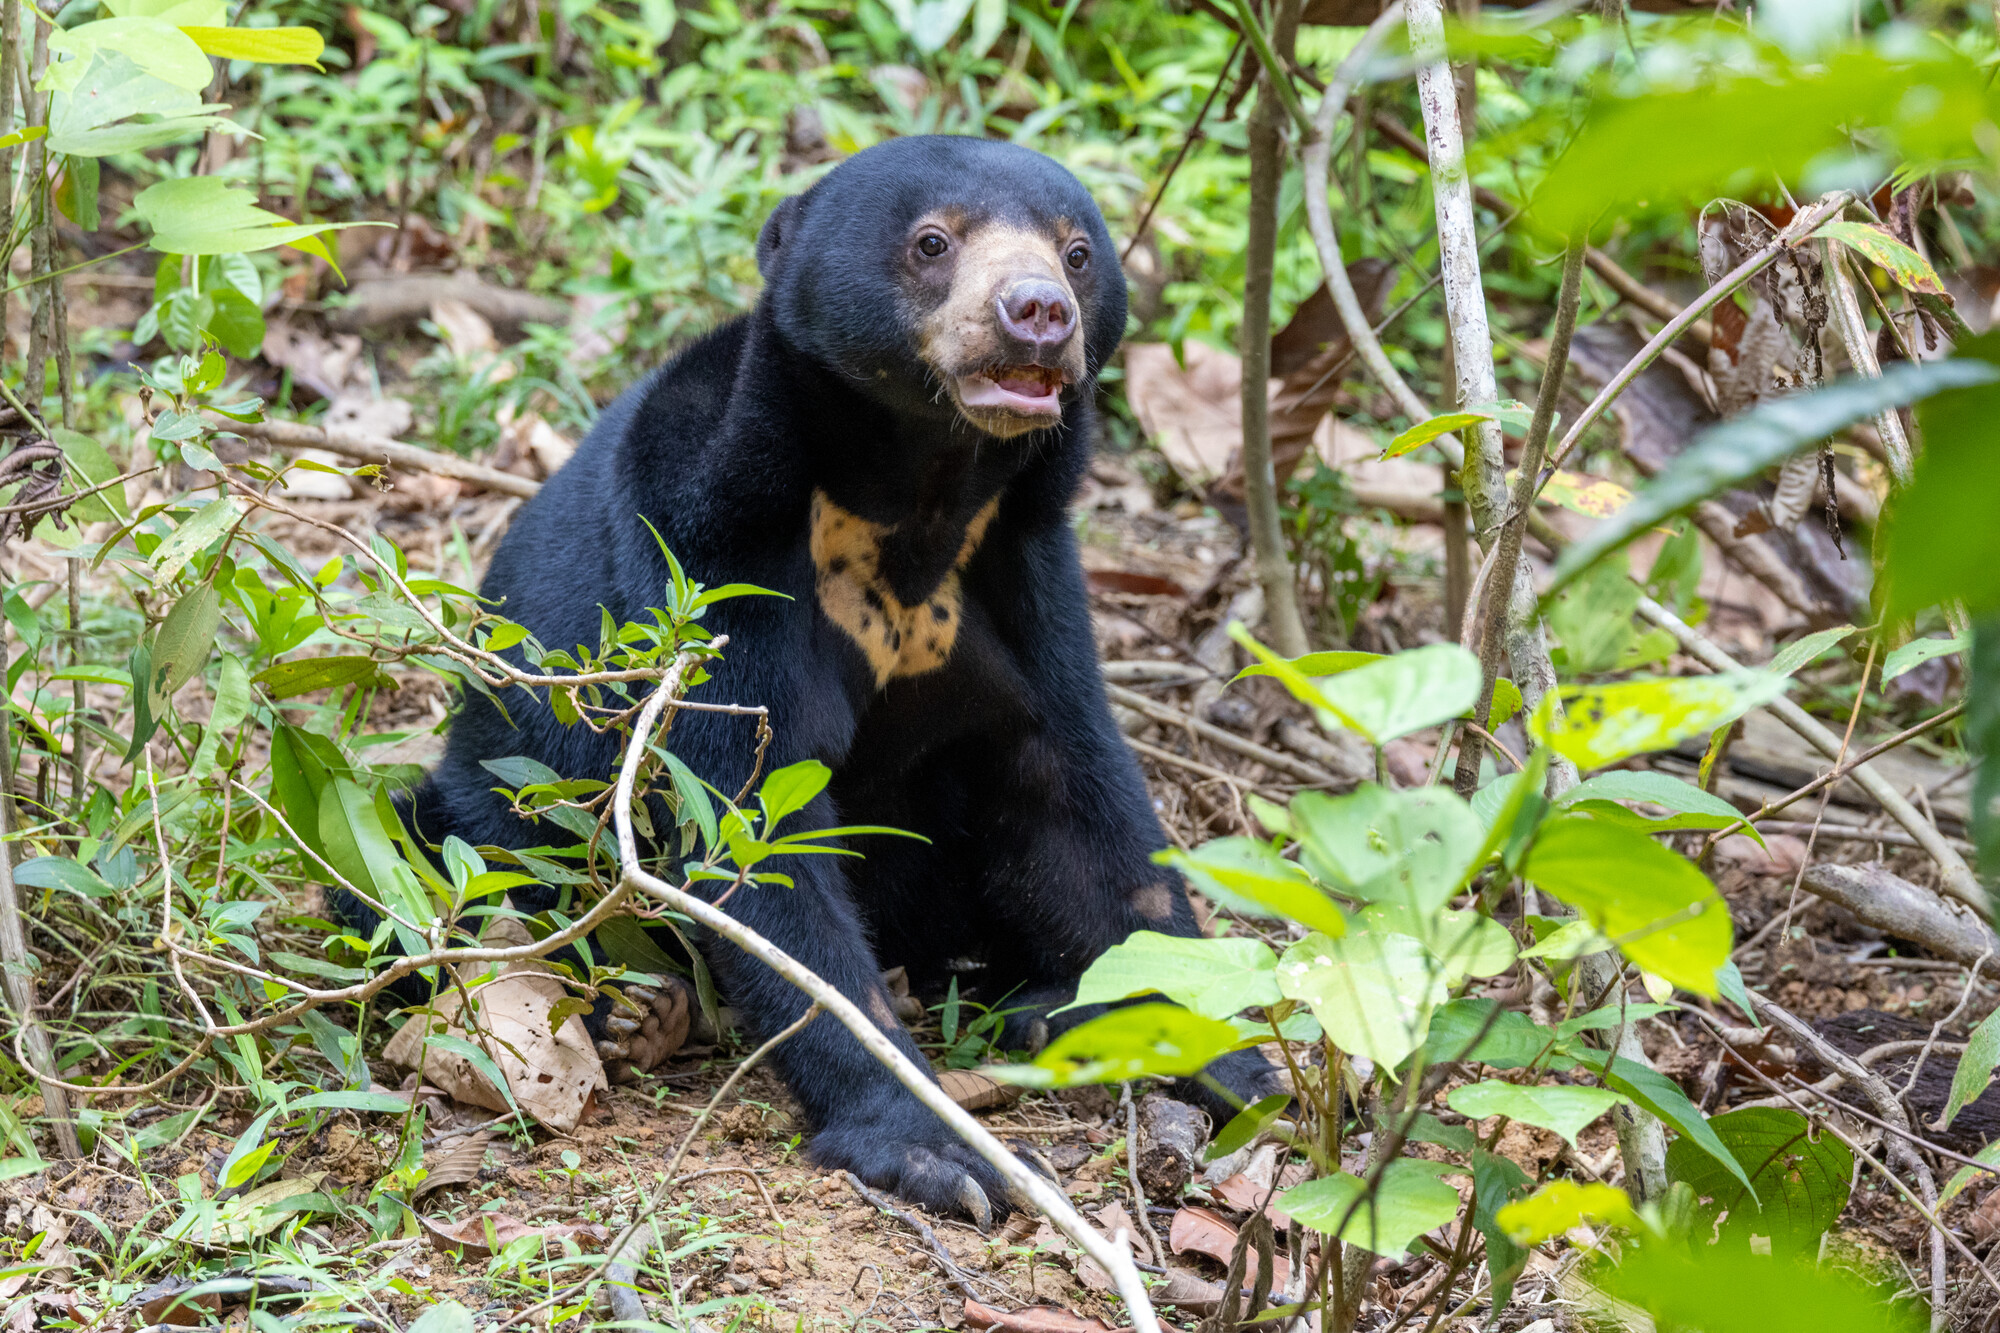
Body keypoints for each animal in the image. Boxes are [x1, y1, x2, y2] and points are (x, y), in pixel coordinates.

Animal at [371, 135, 1283, 1223]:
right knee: (421, 866)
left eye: (1076, 253)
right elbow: (756, 832)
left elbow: (1074, 797)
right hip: (490, 813)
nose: (1037, 312)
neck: (914, 499)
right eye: (932, 242)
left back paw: (1037, 1009)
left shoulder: (1020, 566)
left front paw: (1232, 1058)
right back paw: (636, 1009)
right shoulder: (715, 551)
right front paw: (939, 1151)